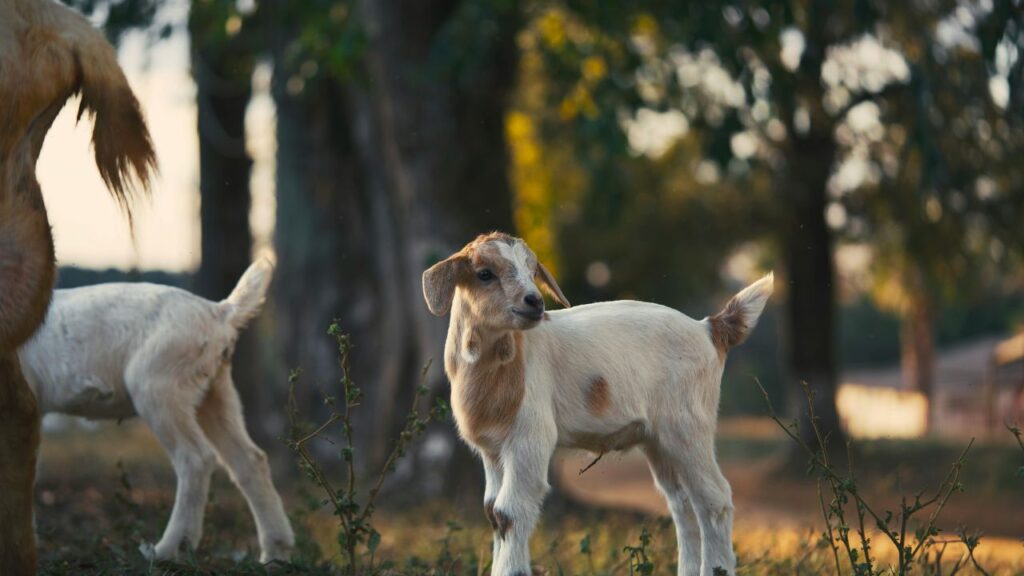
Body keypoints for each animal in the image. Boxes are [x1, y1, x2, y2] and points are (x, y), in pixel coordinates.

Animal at [19, 261, 294, 562]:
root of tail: (220, 313)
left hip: (157, 384)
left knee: (195, 457)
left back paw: (167, 550)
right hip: (215, 392)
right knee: (250, 460)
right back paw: (275, 554)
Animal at [422, 232, 774, 576]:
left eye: (532, 271)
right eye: (484, 274)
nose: (535, 302)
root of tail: (709, 329)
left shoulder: (530, 438)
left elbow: (510, 511)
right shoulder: (492, 450)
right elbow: (493, 513)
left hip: (688, 424)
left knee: (714, 499)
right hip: (659, 440)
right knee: (683, 505)